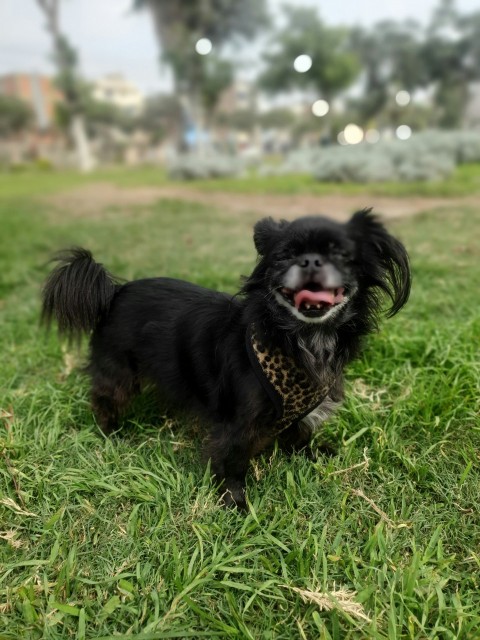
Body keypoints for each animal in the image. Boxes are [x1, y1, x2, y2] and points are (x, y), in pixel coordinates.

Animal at [42, 212, 408, 508]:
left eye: (342, 255)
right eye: (284, 257)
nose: (310, 262)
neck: (302, 339)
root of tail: (114, 292)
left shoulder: (301, 411)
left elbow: (301, 433)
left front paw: (312, 456)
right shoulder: (238, 424)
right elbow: (231, 460)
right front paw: (235, 503)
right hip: (119, 370)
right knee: (105, 397)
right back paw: (111, 433)